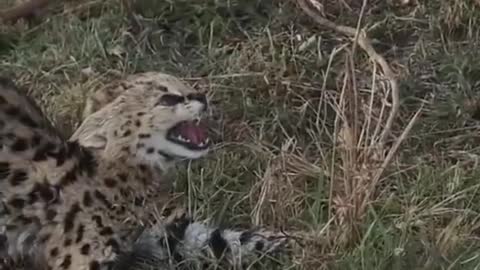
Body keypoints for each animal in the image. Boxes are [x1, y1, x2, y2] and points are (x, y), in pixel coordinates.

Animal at [0, 74, 286, 270]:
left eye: (187, 87)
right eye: (167, 99)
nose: (202, 96)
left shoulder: (160, 230)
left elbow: (215, 238)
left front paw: (278, 240)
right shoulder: (80, 256)